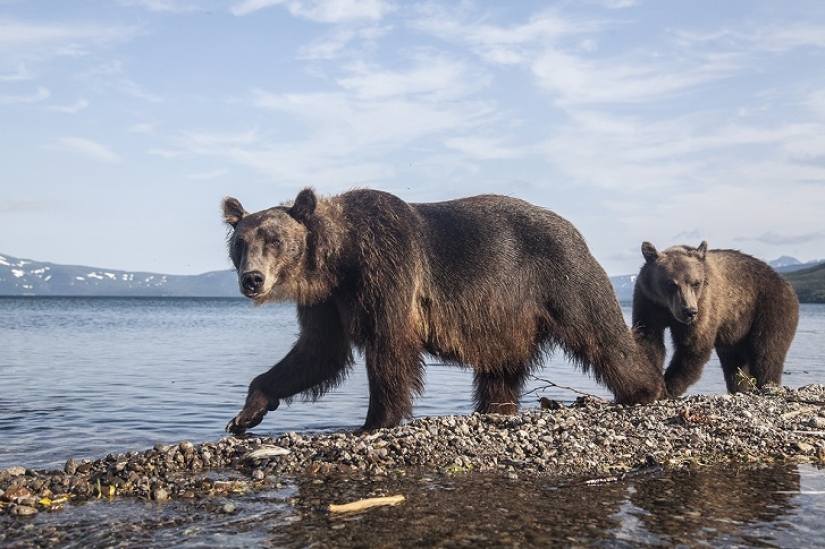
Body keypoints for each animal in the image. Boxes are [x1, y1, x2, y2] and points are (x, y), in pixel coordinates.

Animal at [222, 188, 665, 434]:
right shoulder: (327, 299)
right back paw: (495, 408)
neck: (339, 259)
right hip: (504, 315)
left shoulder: (387, 266)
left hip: (561, 274)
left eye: (274, 239)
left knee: (600, 333)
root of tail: (574, 228)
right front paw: (247, 412)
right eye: (241, 243)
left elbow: (389, 345)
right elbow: (319, 352)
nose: (252, 279)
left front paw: (375, 419)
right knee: (500, 367)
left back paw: (644, 389)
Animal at [632, 241, 799, 397]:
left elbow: (694, 346)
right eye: (670, 284)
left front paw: (669, 387)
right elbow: (649, 340)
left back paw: (766, 384)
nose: (689, 311)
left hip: (768, 308)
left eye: (696, 283)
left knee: (767, 352)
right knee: (734, 364)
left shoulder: (704, 304)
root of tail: (784, 281)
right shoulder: (648, 303)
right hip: (736, 331)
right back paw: (739, 388)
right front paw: (654, 380)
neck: (667, 308)